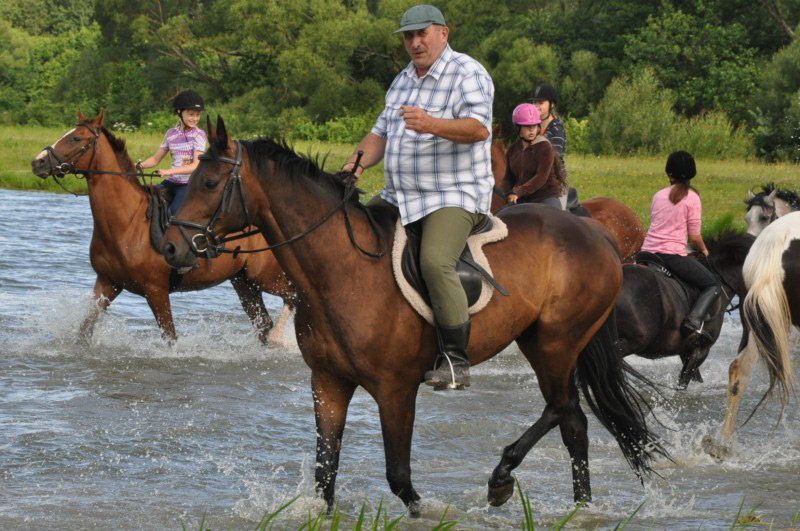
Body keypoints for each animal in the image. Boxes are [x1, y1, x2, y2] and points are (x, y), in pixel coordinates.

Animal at [30, 112, 296, 344]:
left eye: (76, 138)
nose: (38, 162)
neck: (128, 223)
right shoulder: (107, 283)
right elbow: (84, 329)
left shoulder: (156, 291)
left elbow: (170, 338)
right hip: (244, 282)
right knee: (263, 323)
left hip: (267, 277)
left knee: (291, 299)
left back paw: (279, 341)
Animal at [159, 116, 664, 516]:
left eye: (209, 183)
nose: (169, 247)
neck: (342, 271)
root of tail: (597, 234)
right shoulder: (328, 382)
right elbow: (326, 473)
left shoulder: (395, 389)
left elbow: (399, 477)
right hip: (542, 340)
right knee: (573, 422)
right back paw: (581, 507)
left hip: (556, 342)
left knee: (562, 408)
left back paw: (502, 479)